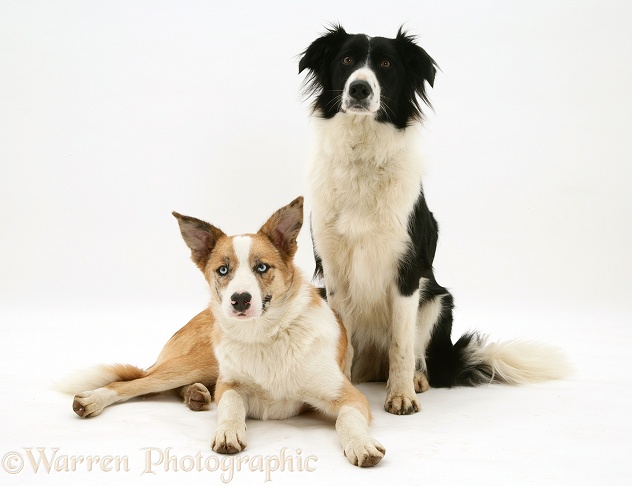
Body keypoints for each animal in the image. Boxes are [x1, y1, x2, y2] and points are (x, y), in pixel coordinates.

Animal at [59, 196, 386, 468]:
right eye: (223, 270)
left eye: (262, 267)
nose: (240, 299)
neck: (265, 336)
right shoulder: (231, 383)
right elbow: (230, 404)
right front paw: (228, 431)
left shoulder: (348, 395)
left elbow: (347, 418)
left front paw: (361, 444)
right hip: (197, 363)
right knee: (135, 383)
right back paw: (94, 399)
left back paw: (195, 394)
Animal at [298, 25, 572, 414]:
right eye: (346, 60)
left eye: (386, 64)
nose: (359, 88)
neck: (363, 155)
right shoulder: (334, 272)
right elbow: (344, 341)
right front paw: (340, 390)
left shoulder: (407, 270)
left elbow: (401, 343)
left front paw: (400, 396)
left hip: (438, 301)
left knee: (416, 353)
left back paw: (415, 379)